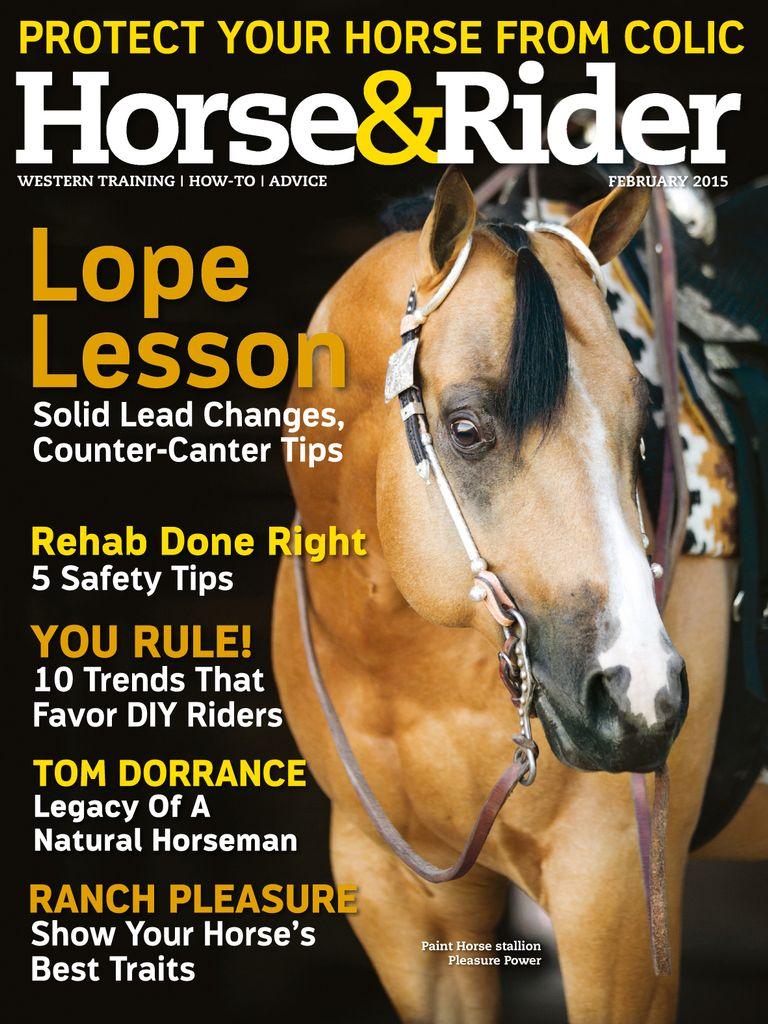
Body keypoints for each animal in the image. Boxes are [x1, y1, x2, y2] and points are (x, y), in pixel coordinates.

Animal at [272, 167, 768, 1023]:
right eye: (467, 429)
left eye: (643, 428)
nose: (642, 694)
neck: (407, 668)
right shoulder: (402, 893)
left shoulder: (615, 896)